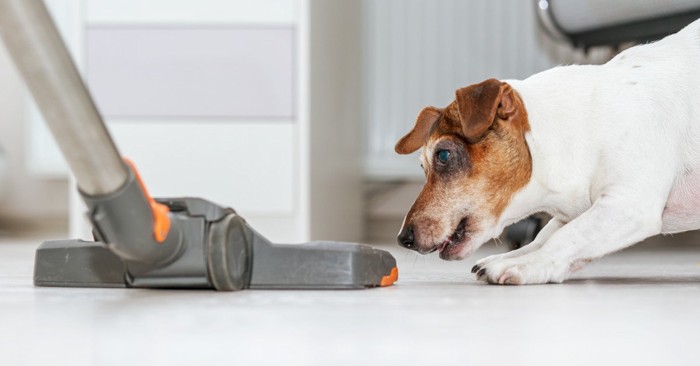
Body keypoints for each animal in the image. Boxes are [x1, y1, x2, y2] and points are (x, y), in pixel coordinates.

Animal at [394, 18, 700, 284]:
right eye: (422, 167)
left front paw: (524, 265)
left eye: (443, 155)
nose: (403, 239)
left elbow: (566, 237)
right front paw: (512, 257)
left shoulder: (628, 204)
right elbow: (546, 236)